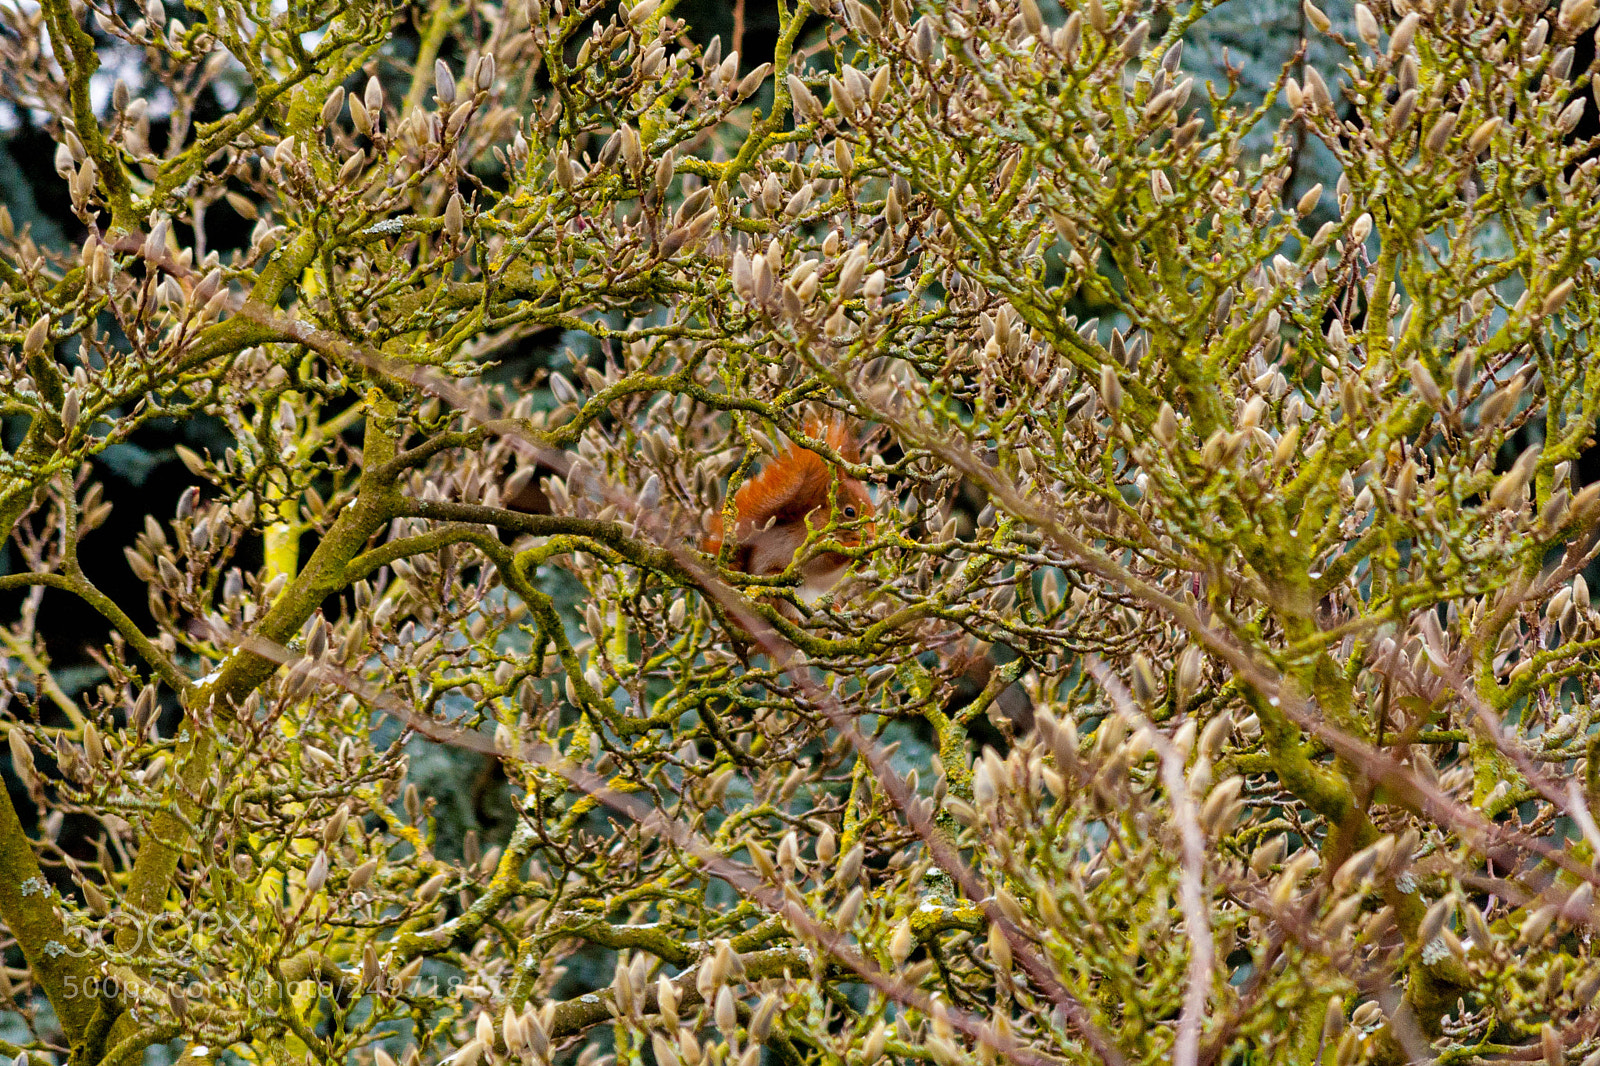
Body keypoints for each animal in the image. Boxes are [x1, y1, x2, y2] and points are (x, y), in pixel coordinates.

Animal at [703, 417, 876, 601]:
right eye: (849, 512)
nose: (871, 535)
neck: (826, 521)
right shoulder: (807, 539)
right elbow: (822, 561)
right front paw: (855, 545)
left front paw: (869, 552)